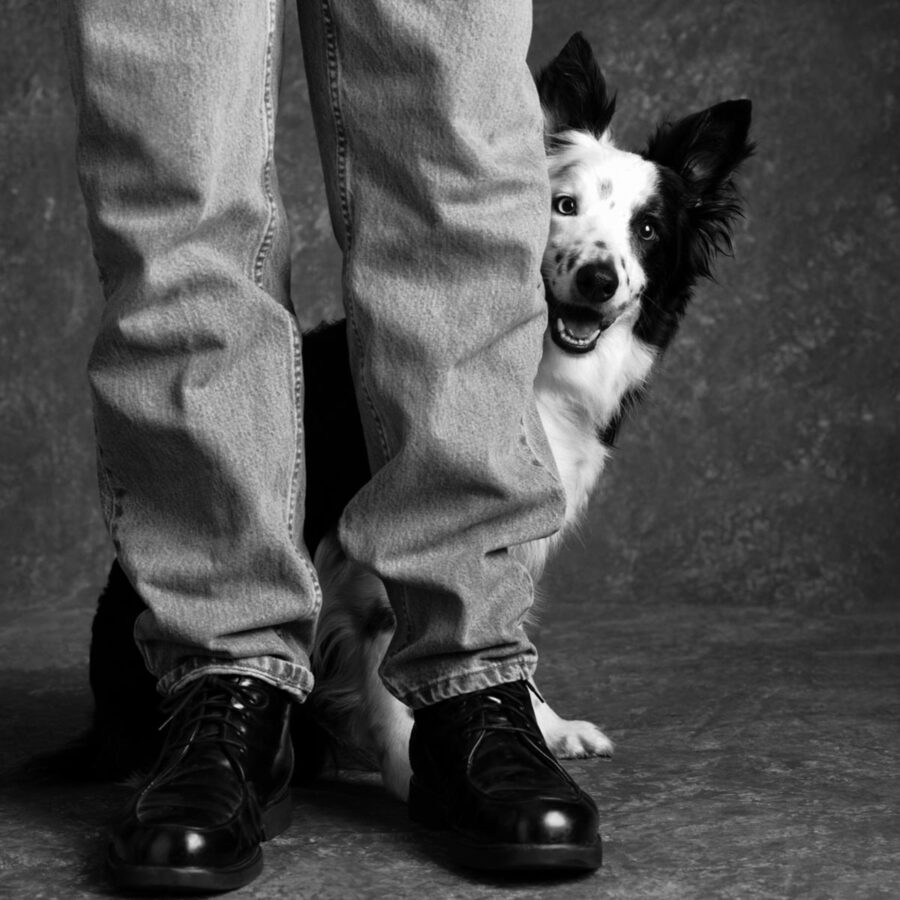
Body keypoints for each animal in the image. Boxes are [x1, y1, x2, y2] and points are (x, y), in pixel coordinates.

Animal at [79, 31, 752, 800]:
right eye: (563, 204)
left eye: (647, 229)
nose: (598, 279)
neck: (534, 374)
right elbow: (390, 649)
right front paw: (411, 765)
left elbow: (490, 626)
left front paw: (542, 729)